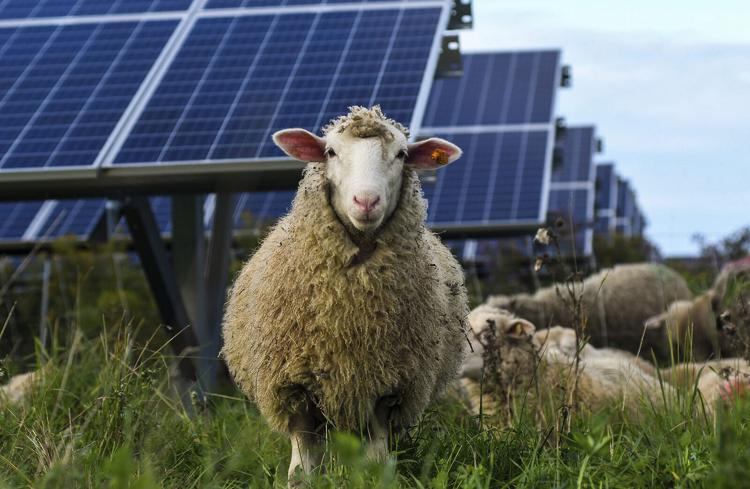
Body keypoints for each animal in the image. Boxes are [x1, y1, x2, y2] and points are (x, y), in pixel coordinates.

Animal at [222, 106, 468, 482]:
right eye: (330, 152)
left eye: (401, 154)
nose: (366, 201)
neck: (349, 314)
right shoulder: (294, 388)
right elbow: (300, 471)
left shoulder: (389, 389)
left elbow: (379, 463)